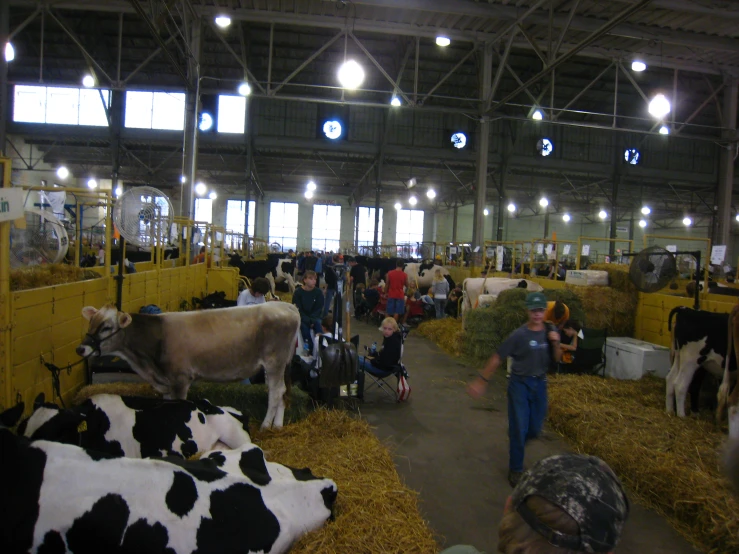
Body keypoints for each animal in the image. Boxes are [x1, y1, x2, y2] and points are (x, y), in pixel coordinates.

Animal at [77, 302, 300, 426]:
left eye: (106, 327)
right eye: (91, 323)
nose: (81, 349)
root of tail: (286, 306)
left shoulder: (180, 379)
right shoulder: (166, 383)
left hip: (274, 361)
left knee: (276, 391)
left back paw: (266, 425)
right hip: (279, 364)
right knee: (281, 391)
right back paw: (278, 424)